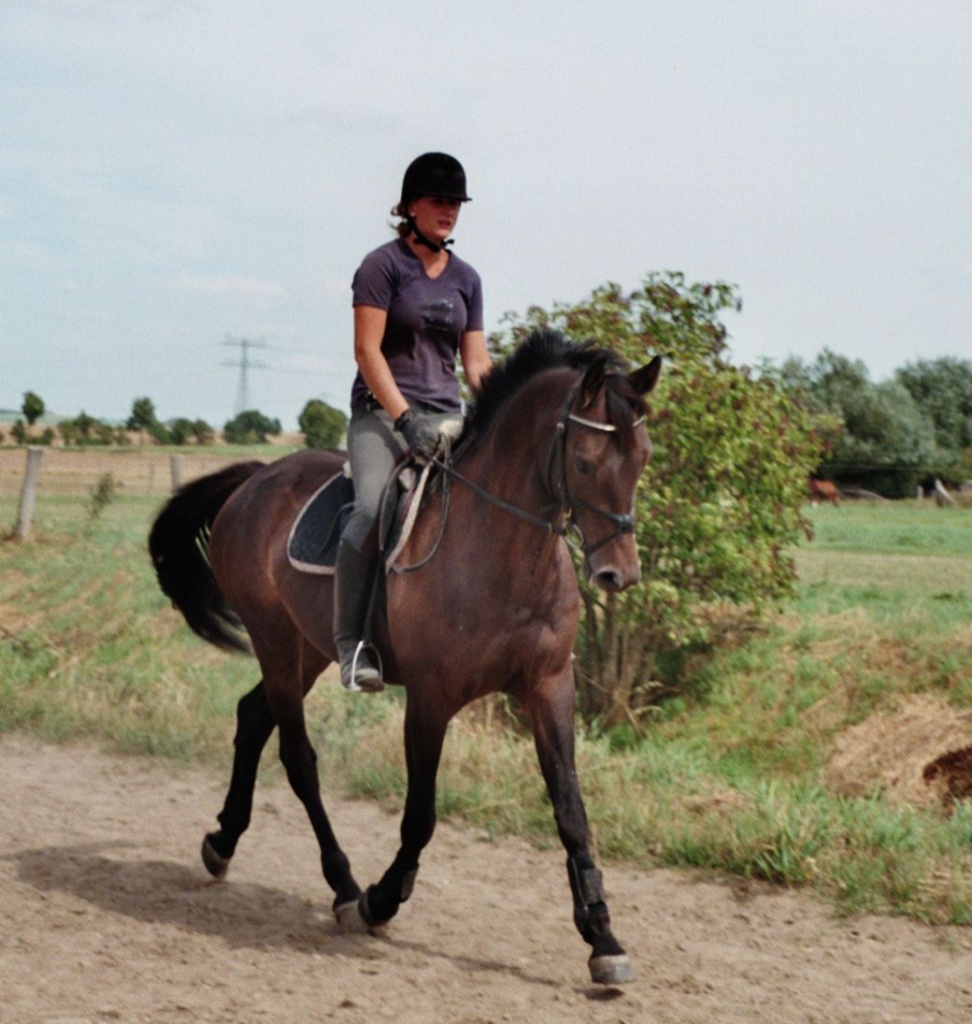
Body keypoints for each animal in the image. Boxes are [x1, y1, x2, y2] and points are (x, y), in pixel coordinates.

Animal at [148, 330, 661, 985]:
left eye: (642, 457)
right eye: (586, 462)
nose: (619, 574)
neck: (501, 547)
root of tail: (257, 479)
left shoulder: (549, 688)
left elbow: (571, 810)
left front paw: (603, 938)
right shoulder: (430, 697)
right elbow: (421, 814)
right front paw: (381, 899)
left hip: (307, 650)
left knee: (251, 718)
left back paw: (222, 844)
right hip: (277, 644)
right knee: (297, 758)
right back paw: (343, 886)